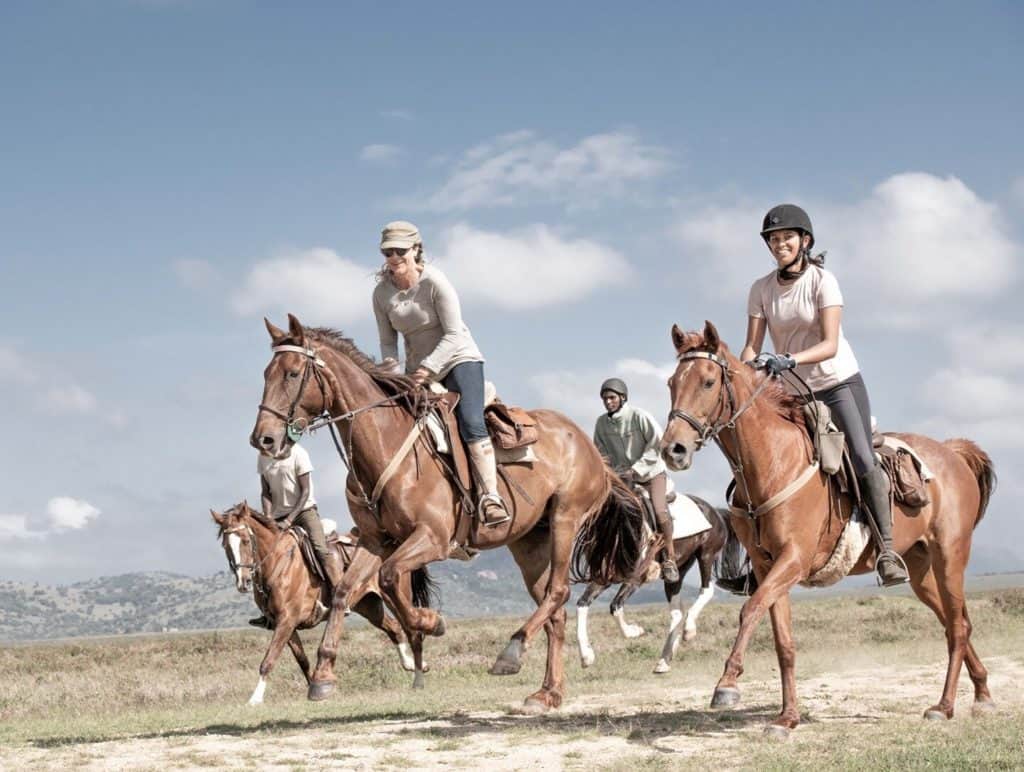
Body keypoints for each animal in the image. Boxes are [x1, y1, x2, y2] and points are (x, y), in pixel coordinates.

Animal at [209, 499, 430, 704]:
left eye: (246, 541)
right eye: (226, 546)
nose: (243, 582)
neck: (279, 563)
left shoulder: (287, 621)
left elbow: (269, 659)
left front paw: (255, 699)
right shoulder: (285, 625)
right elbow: (302, 660)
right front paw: (316, 686)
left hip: (394, 597)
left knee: (410, 629)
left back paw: (418, 669)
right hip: (369, 606)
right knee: (394, 628)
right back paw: (411, 665)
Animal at [248, 313, 643, 708]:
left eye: (293, 374)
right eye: (265, 373)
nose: (263, 439)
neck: (386, 442)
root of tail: (589, 447)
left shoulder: (431, 539)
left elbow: (390, 577)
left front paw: (430, 621)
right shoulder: (375, 540)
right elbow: (344, 591)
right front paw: (324, 674)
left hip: (565, 519)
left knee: (558, 593)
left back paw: (511, 652)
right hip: (530, 543)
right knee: (553, 610)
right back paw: (548, 692)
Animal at [577, 495, 737, 671]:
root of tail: (715, 511)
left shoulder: (636, 578)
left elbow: (615, 606)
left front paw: (634, 631)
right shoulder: (604, 578)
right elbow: (582, 604)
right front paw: (586, 657)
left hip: (706, 555)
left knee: (706, 590)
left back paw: (689, 631)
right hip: (677, 572)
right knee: (677, 612)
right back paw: (664, 660)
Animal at [651, 321, 995, 737]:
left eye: (708, 381)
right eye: (672, 382)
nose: (674, 450)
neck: (773, 462)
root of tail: (952, 453)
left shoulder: (794, 561)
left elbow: (750, 610)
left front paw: (727, 685)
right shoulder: (768, 567)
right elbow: (783, 642)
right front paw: (787, 718)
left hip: (949, 558)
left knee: (957, 626)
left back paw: (944, 706)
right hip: (921, 571)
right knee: (955, 622)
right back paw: (982, 694)